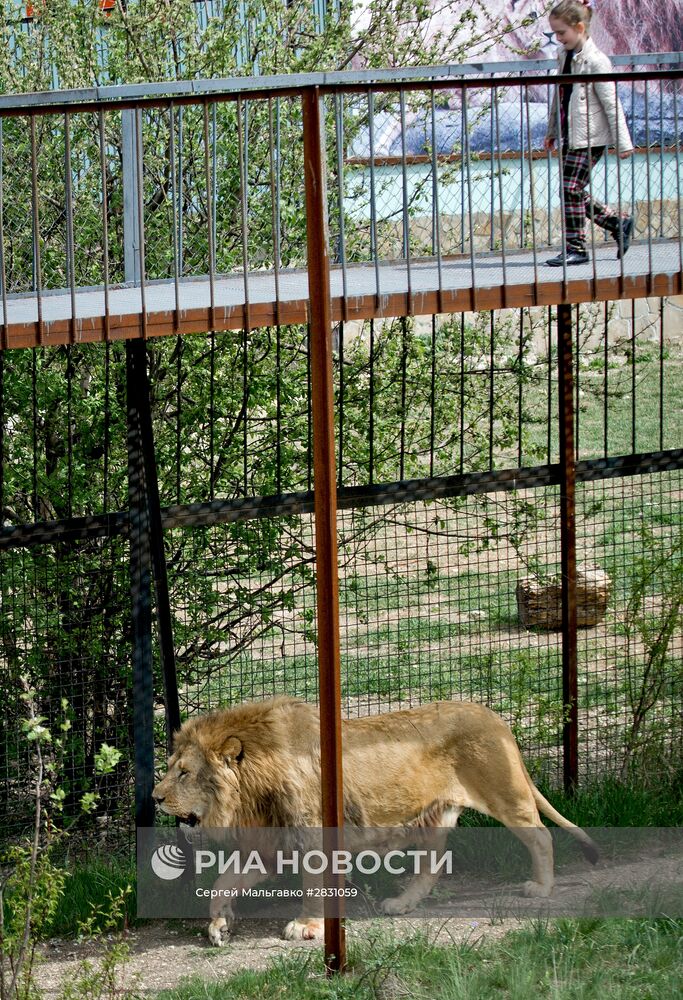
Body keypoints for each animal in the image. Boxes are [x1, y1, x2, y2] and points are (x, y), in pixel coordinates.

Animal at [154, 696, 600, 944]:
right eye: (172, 768)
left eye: (184, 773)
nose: (156, 798)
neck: (252, 793)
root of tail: (497, 719)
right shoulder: (271, 846)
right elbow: (221, 882)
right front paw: (220, 925)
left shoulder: (313, 838)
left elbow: (312, 888)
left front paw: (307, 927)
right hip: (434, 817)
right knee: (431, 867)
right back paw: (402, 904)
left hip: (505, 793)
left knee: (541, 837)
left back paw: (541, 888)